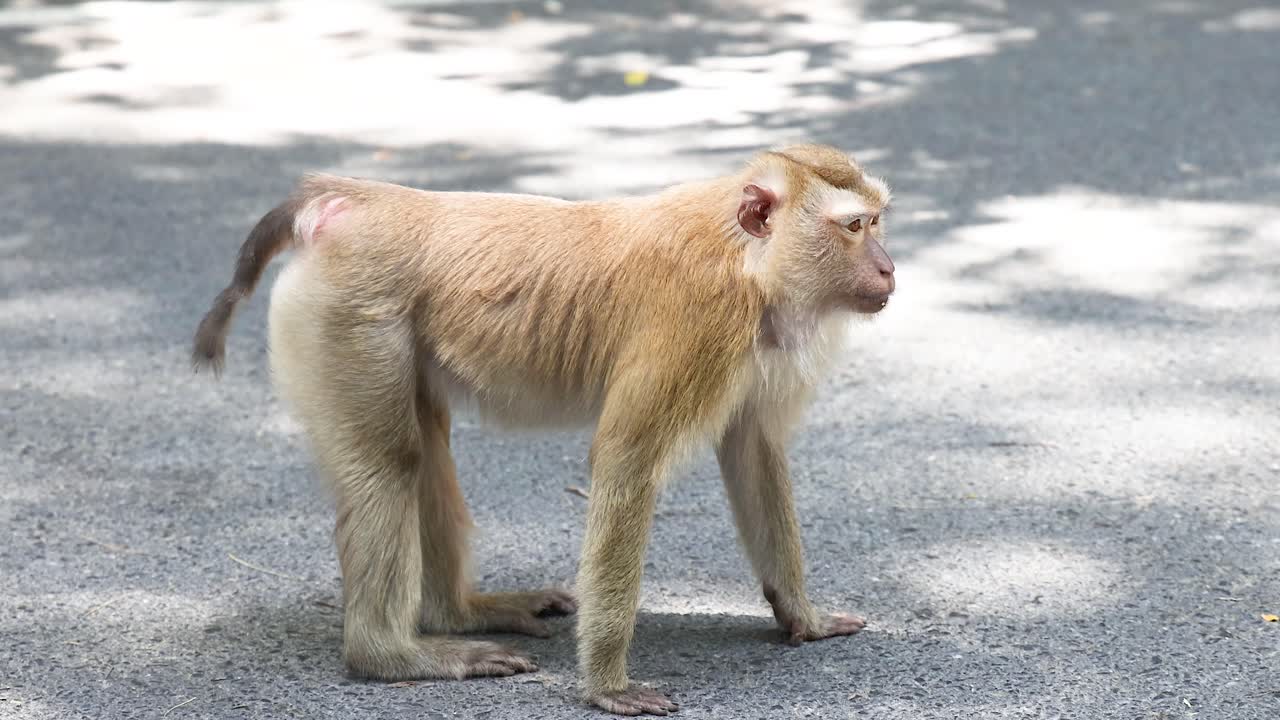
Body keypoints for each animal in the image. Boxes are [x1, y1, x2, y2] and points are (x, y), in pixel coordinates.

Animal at [191, 143, 895, 716]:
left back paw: (458, 614)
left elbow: (753, 450)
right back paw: (391, 655)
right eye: (854, 226)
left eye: (877, 221)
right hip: (350, 314)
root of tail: (362, 199)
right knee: (390, 463)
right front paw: (607, 686)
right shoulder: (701, 318)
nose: (889, 268)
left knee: (423, 447)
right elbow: (625, 461)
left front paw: (803, 618)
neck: (746, 257)